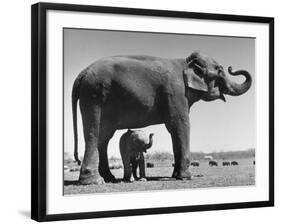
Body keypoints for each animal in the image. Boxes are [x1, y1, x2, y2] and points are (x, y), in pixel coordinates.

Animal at [72, 51, 252, 185]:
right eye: (220, 71)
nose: (231, 67)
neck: (186, 62)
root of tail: (82, 74)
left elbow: (174, 129)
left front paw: (176, 176)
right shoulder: (175, 93)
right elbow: (181, 125)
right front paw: (187, 177)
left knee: (104, 136)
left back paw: (109, 178)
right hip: (94, 95)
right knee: (93, 133)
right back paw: (95, 181)